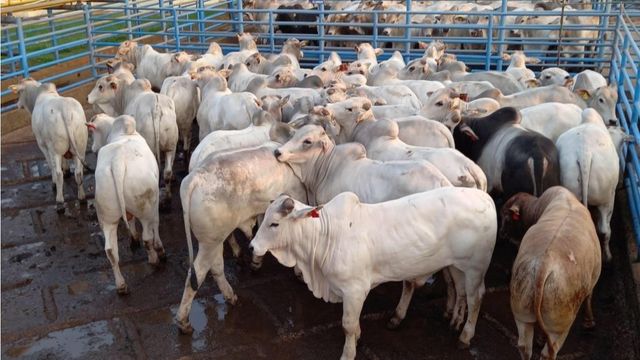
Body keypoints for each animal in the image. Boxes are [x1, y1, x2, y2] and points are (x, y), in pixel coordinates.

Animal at [10, 79, 87, 212]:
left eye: (19, 92)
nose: (17, 104)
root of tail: (65, 109)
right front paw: (67, 170)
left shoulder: (43, 146)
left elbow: (51, 166)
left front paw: (54, 183)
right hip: (80, 147)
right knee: (78, 172)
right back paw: (82, 197)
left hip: (55, 150)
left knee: (59, 174)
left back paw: (59, 202)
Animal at [88, 115, 165, 296]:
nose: (92, 148)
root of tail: (118, 162)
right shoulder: (154, 200)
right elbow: (156, 222)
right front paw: (159, 247)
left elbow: (130, 221)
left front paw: (133, 238)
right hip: (144, 205)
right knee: (147, 236)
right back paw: (154, 259)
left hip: (106, 214)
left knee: (110, 251)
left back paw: (121, 285)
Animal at [249, 188, 496, 360]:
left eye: (274, 223)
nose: (251, 247)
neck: (325, 236)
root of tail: (486, 199)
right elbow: (354, 324)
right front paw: (358, 337)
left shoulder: (354, 290)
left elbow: (347, 324)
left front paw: (348, 353)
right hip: (457, 266)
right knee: (460, 291)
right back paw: (454, 320)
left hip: (476, 267)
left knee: (476, 298)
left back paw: (465, 335)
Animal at [502, 187, 604, 358]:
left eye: (507, 219)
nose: (502, 236)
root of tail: (545, 263)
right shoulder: (593, 276)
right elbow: (589, 297)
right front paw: (589, 323)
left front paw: (540, 338)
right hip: (560, 322)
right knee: (549, 352)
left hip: (521, 308)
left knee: (524, 347)